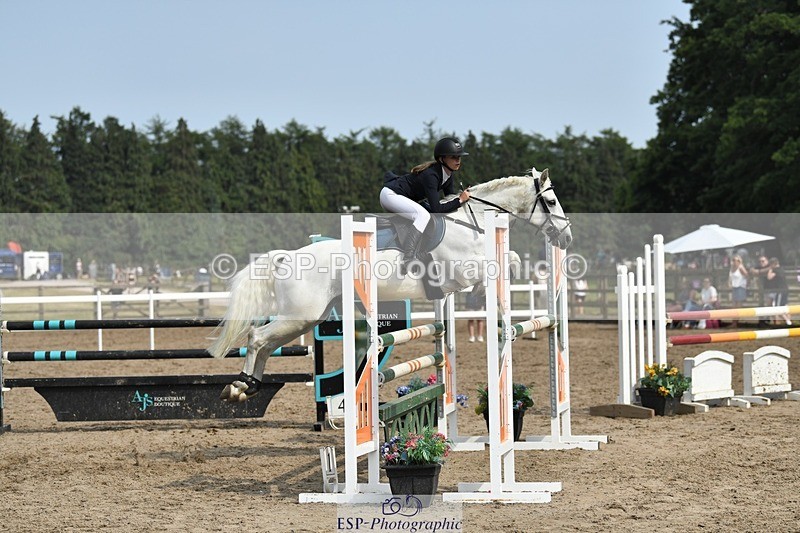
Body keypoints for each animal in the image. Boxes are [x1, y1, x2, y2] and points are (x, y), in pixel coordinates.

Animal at [209, 167, 571, 402]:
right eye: (552, 202)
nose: (566, 238)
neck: (473, 222)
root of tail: (288, 256)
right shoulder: (463, 269)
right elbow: (502, 263)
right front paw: (479, 296)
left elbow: (509, 259)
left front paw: (481, 297)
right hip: (300, 315)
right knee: (257, 338)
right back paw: (239, 387)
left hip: (306, 317)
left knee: (266, 344)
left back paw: (247, 387)